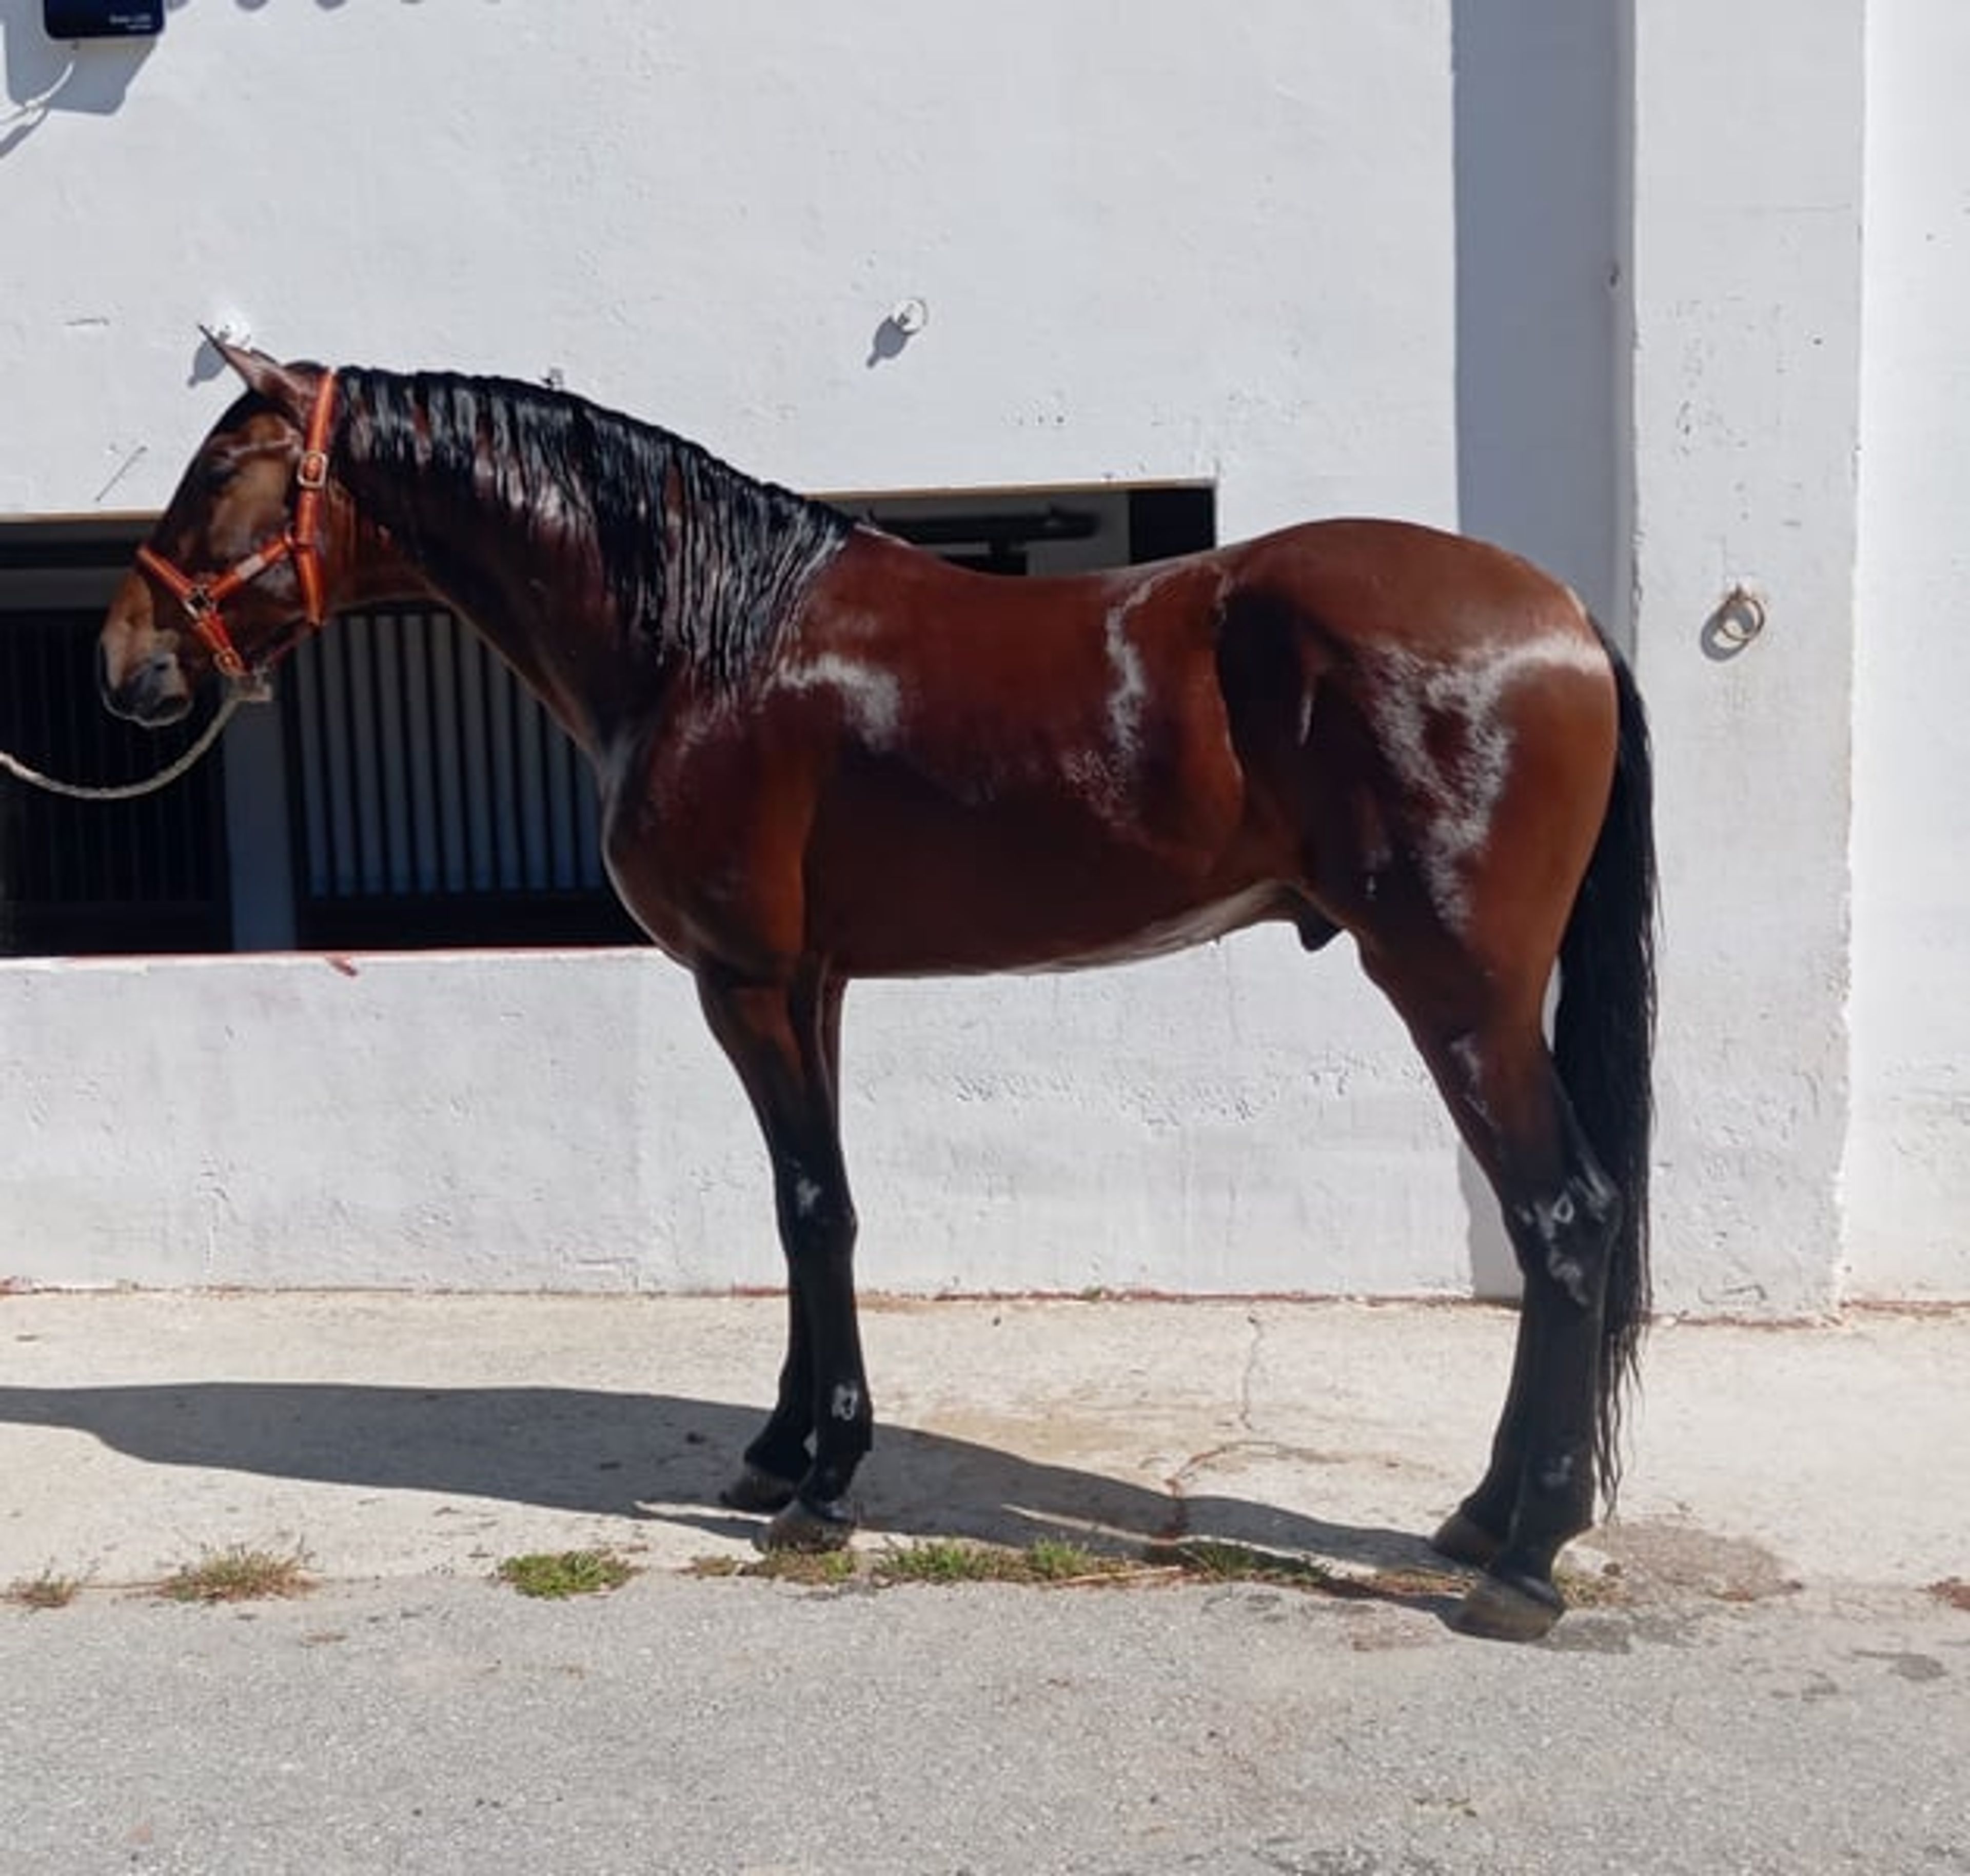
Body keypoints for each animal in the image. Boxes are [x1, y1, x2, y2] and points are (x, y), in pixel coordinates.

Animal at [97, 340, 1655, 1641]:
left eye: (219, 473)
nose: (123, 660)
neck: (703, 640)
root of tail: (1562, 615)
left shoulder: (748, 983)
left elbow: (812, 1209)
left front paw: (824, 1485)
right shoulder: (814, 985)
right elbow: (810, 1217)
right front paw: (778, 1451)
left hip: (1458, 997)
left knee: (1565, 1218)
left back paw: (1526, 1558)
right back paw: (1483, 1518)